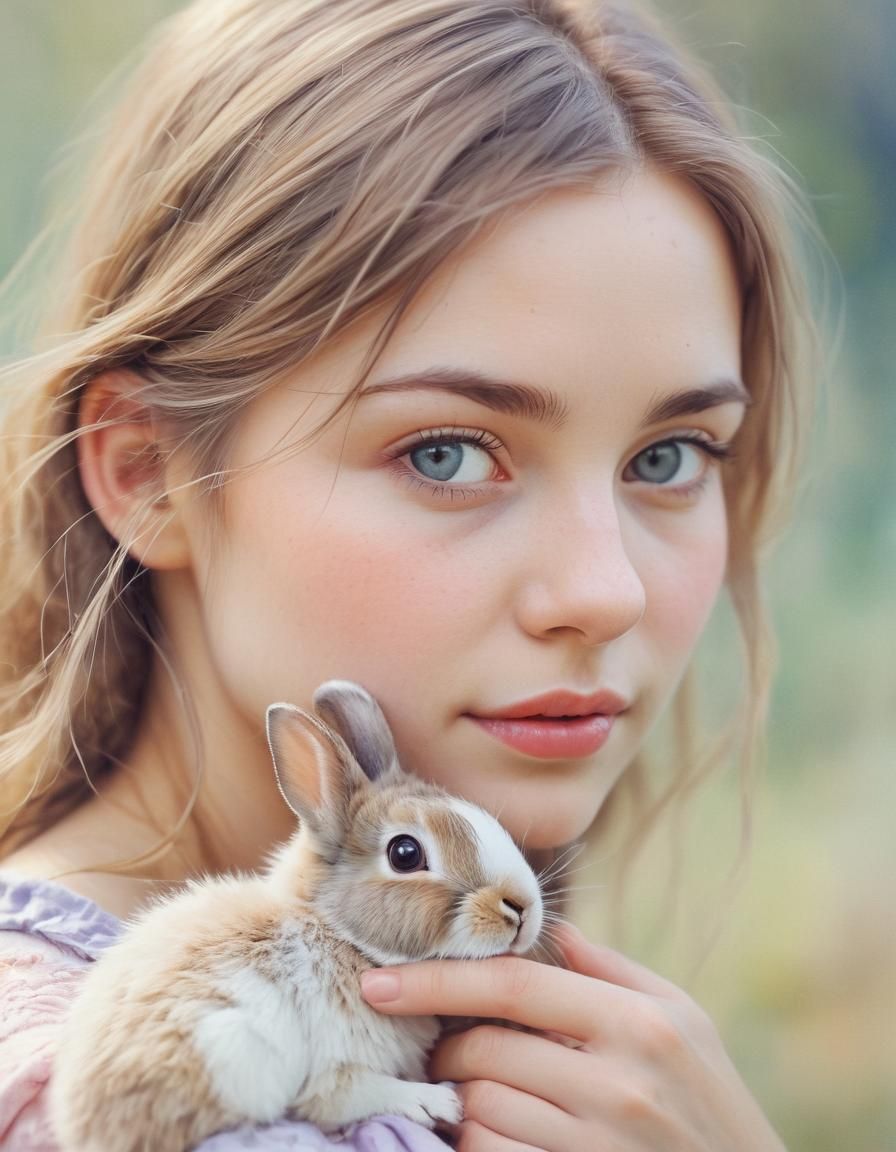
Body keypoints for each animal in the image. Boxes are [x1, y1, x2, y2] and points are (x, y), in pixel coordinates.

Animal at [49, 680, 544, 1152]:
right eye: (405, 853)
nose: (522, 909)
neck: (342, 937)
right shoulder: (333, 1070)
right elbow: (348, 1095)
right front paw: (438, 1101)